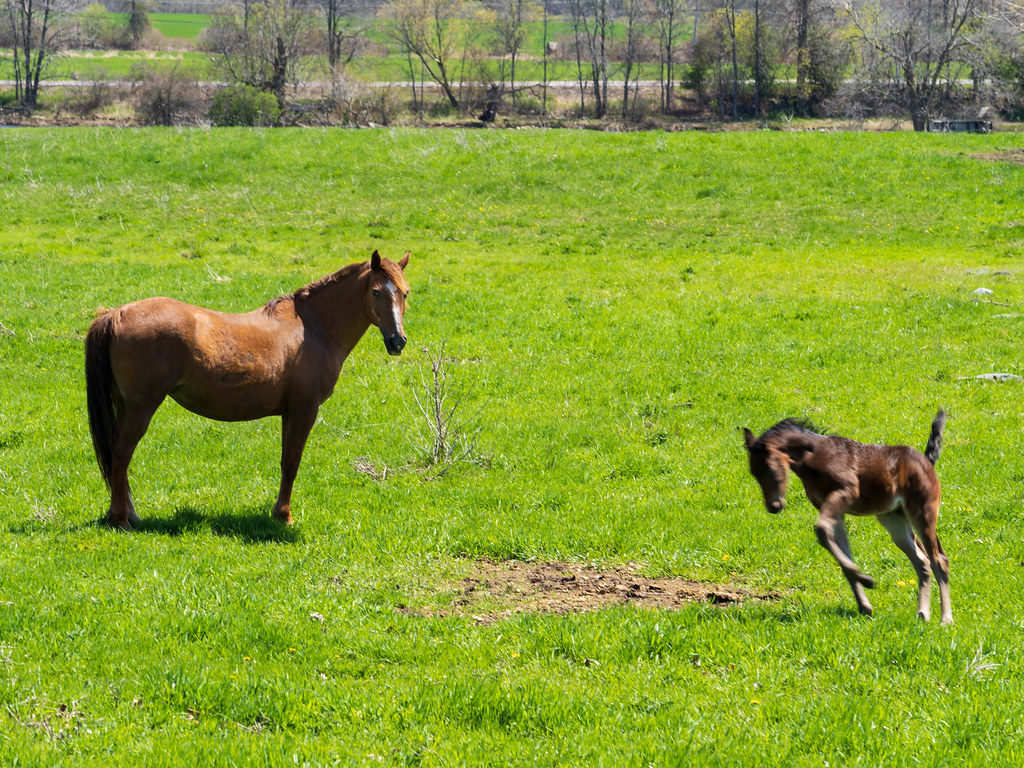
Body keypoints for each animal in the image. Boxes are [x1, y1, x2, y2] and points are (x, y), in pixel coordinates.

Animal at [85, 250, 411, 530]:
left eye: (405, 292)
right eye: (377, 292)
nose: (397, 341)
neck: (314, 328)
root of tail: (115, 314)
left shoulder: (289, 413)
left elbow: (285, 461)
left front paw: (279, 513)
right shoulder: (305, 410)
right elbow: (292, 462)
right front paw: (284, 516)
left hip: (125, 406)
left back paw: (129, 514)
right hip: (141, 408)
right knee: (121, 454)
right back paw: (120, 519)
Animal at [742, 410, 952, 625]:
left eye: (769, 468)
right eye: (753, 473)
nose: (773, 507)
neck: (814, 456)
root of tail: (927, 463)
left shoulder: (846, 493)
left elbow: (821, 530)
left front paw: (867, 580)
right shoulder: (835, 511)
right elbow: (838, 546)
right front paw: (865, 605)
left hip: (923, 512)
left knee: (939, 560)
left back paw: (946, 618)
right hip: (894, 520)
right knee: (922, 561)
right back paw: (923, 614)